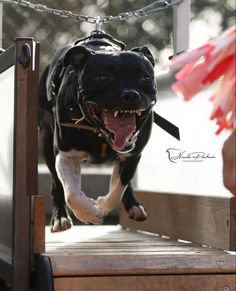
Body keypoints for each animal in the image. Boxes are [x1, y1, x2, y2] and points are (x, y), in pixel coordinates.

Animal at [38, 32, 157, 233]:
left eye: (145, 78)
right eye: (102, 77)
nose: (131, 95)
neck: (98, 132)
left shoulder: (132, 155)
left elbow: (118, 189)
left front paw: (101, 205)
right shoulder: (66, 155)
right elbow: (72, 195)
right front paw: (90, 214)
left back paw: (134, 206)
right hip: (46, 143)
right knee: (56, 184)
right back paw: (60, 217)